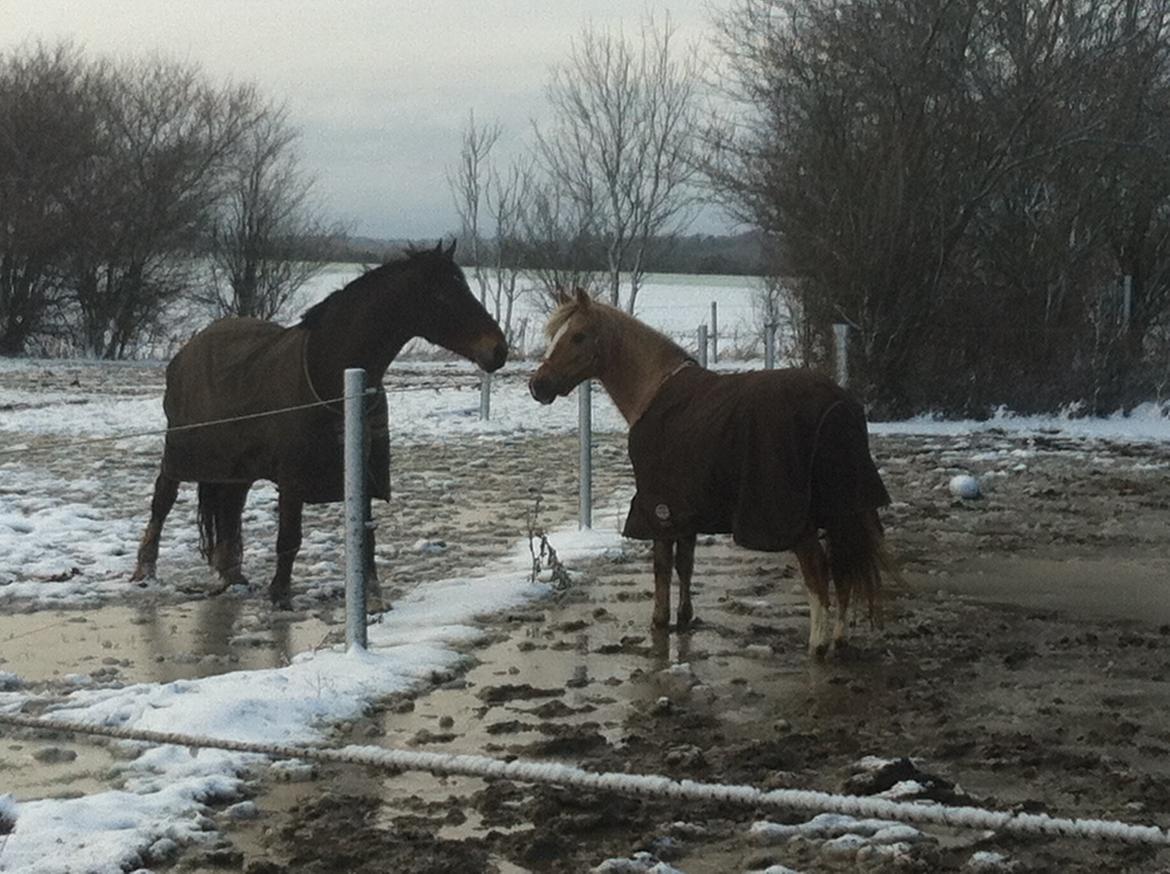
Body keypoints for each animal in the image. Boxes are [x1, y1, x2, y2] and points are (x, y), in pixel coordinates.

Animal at [132, 239, 507, 608]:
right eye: (443, 295)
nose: (498, 350)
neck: (334, 375)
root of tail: (189, 347)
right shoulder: (292, 477)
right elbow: (289, 537)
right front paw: (280, 595)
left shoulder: (361, 470)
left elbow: (366, 535)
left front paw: (372, 598)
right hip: (181, 451)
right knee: (162, 501)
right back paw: (144, 573)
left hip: (236, 465)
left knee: (230, 505)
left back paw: (232, 576)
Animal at [531, 290, 893, 659]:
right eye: (555, 335)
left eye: (578, 336)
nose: (537, 386)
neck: (654, 389)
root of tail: (836, 404)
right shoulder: (686, 511)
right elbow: (685, 564)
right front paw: (684, 618)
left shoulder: (660, 511)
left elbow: (663, 568)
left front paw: (660, 622)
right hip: (843, 507)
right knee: (843, 568)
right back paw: (840, 639)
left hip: (797, 519)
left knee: (818, 570)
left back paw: (817, 644)